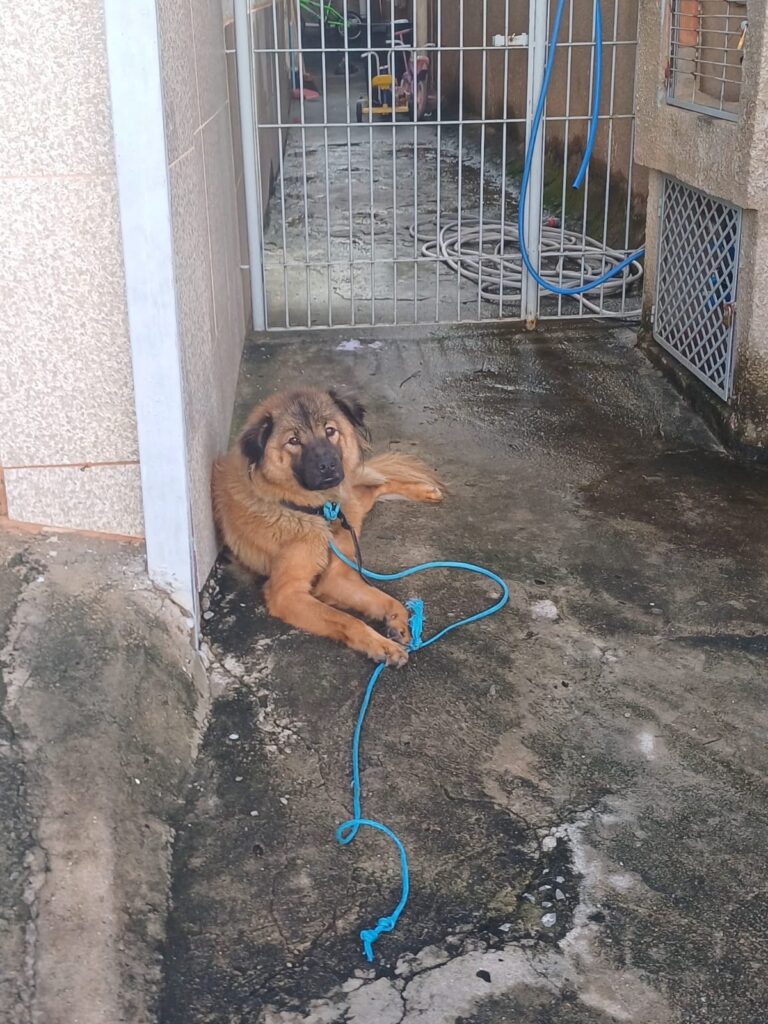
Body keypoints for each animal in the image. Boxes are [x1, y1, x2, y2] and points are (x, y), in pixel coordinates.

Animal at [212, 388, 443, 666]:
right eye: (293, 441)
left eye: (330, 430)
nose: (329, 466)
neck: (316, 511)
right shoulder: (287, 593)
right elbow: (349, 620)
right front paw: (383, 646)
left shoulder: (336, 576)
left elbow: (387, 599)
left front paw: (398, 620)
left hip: (355, 508)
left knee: (376, 484)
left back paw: (425, 491)